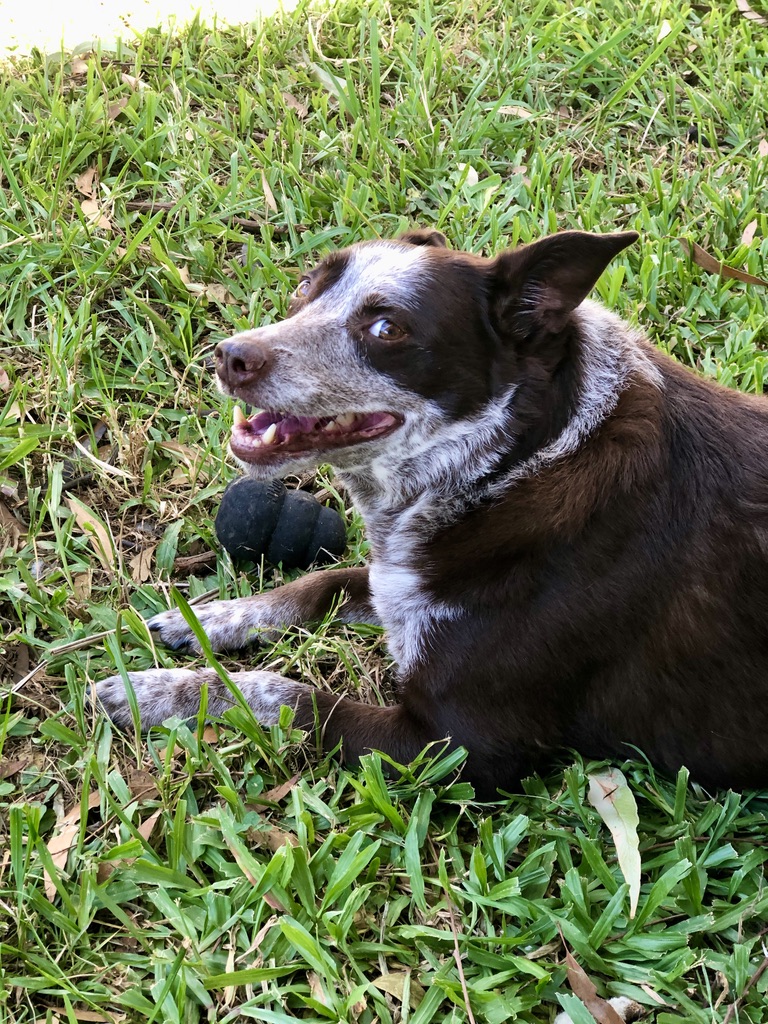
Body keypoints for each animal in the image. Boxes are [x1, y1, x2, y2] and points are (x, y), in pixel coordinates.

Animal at [96, 227, 768, 797]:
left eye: (386, 327)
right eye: (307, 287)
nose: (230, 355)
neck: (514, 461)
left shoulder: (455, 747)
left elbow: (287, 694)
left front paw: (156, 691)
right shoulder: (400, 580)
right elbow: (317, 585)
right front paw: (207, 619)